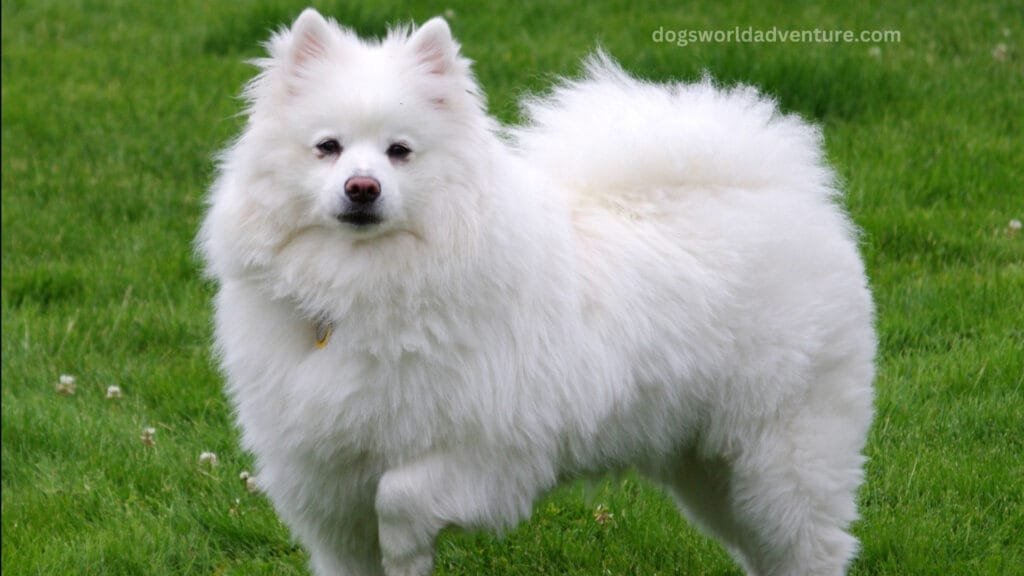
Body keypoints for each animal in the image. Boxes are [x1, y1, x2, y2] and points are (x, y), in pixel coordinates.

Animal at [201, 8, 880, 573]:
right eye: (328, 148)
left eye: (400, 152)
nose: (362, 187)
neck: (363, 283)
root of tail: (786, 192)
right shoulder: (323, 479)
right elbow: (352, 541)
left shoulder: (490, 449)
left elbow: (398, 498)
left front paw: (406, 545)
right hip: (708, 468)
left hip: (781, 458)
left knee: (813, 547)